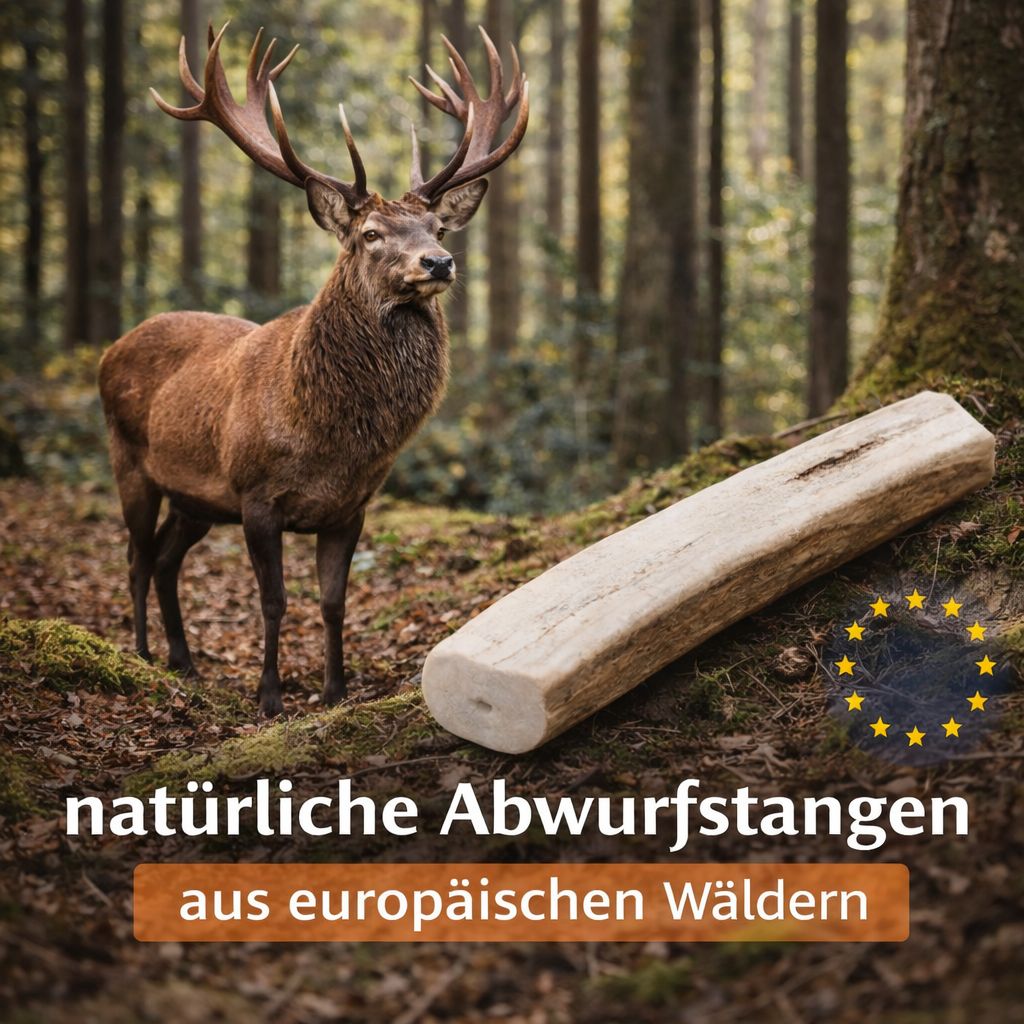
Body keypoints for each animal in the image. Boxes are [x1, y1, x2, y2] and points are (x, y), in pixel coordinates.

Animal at [98, 22, 528, 715]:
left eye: (436, 227)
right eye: (371, 233)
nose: (439, 262)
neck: (329, 439)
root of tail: (112, 348)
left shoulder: (351, 508)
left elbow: (332, 604)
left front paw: (335, 692)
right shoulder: (255, 495)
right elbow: (274, 602)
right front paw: (270, 696)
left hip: (196, 498)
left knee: (164, 558)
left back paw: (183, 661)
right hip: (128, 459)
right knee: (137, 556)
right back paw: (139, 654)